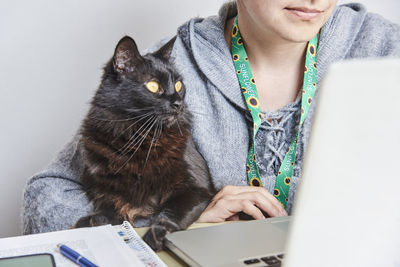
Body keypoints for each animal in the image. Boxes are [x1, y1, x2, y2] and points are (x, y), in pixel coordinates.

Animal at [73, 35, 214, 251]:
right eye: (153, 86)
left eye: (179, 85)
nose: (178, 104)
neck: (140, 139)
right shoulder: (105, 193)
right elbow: (107, 213)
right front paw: (89, 223)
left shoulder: (197, 189)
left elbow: (169, 214)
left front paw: (155, 236)